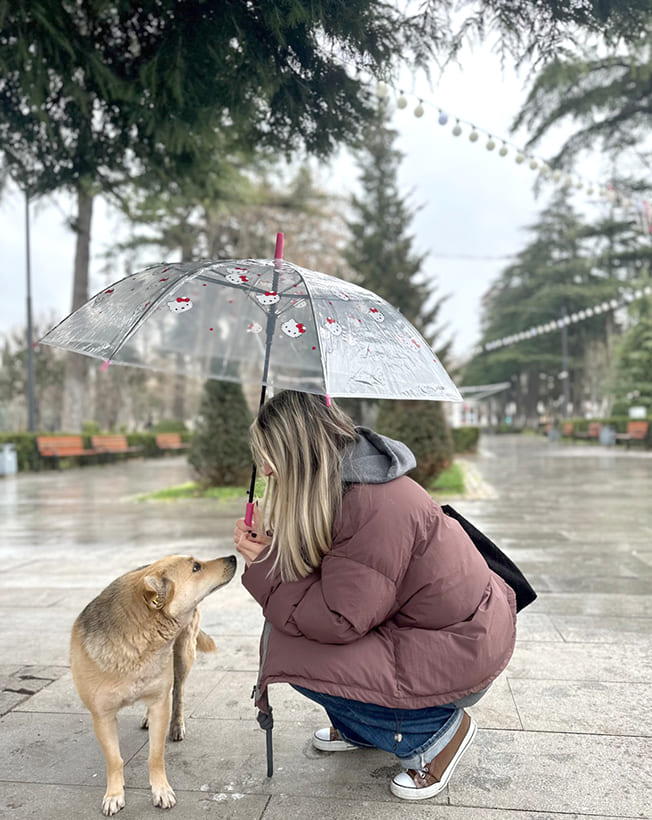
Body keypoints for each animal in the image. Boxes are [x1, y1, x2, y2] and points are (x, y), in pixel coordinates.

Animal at [70, 556, 237, 816]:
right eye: (196, 567)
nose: (233, 557)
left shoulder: (160, 702)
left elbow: (155, 755)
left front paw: (161, 790)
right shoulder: (102, 716)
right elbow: (114, 759)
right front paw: (114, 794)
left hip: (183, 655)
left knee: (178, 694)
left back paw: (176, 724)